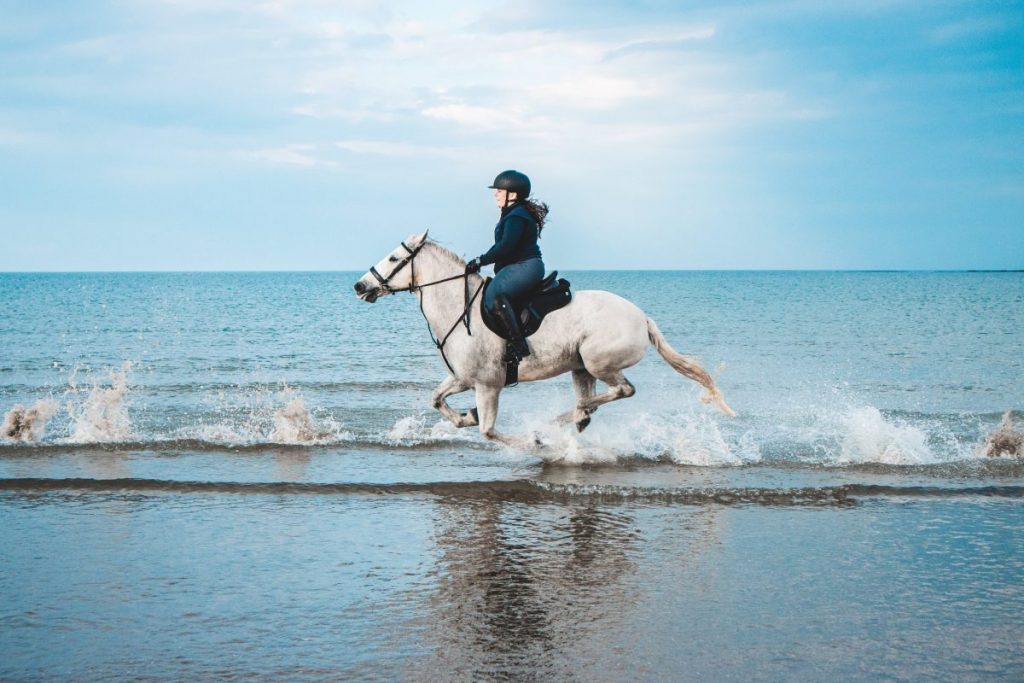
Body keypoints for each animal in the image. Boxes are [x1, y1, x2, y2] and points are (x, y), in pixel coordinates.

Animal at [353, 232, 735, 448]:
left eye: (394, 258)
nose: (360, 286)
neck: (460, 309)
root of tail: (642, 317)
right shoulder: (463, 378)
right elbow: (436, 400)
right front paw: (465, 417)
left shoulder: (488, 385)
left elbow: (488, 432)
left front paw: (532, 441)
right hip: (581, 368)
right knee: (594, 400)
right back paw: (574, 417)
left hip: (598, 361)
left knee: (622, 391)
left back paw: (560, 420)